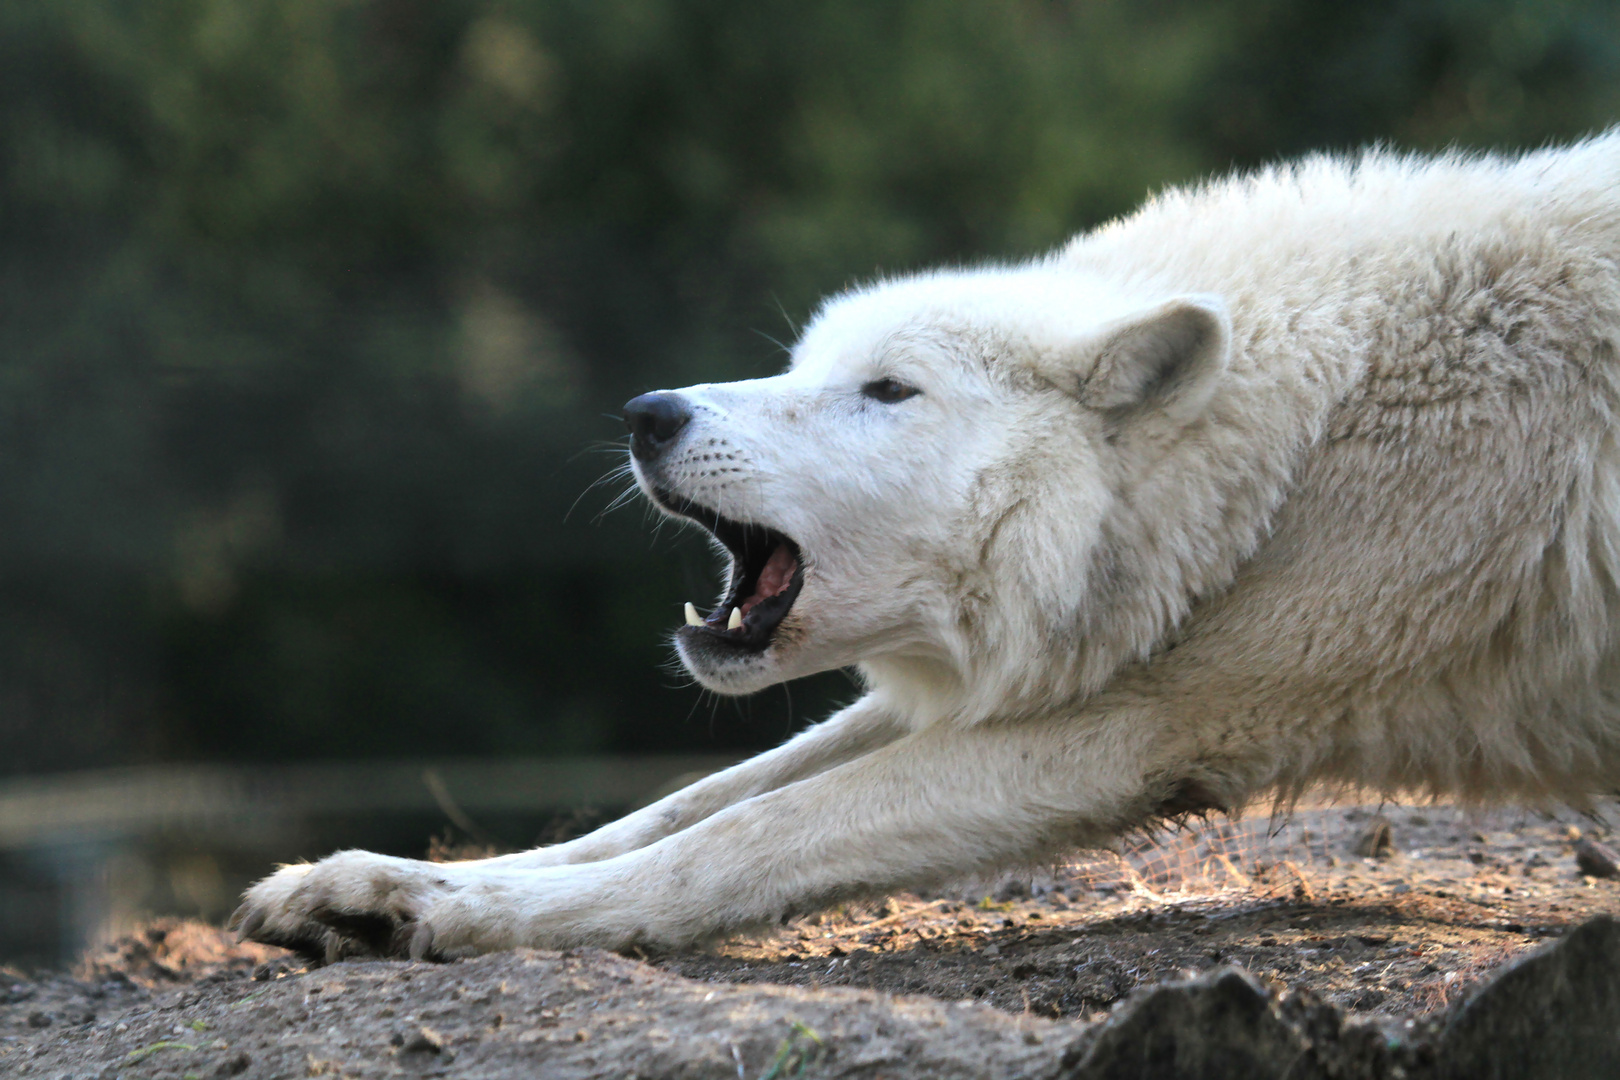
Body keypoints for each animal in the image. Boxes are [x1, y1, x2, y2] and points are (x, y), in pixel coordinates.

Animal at [236, 132, 1620, 965]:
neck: (1302, 451)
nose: (649, 413)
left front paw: (463, 916)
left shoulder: (1141, 726)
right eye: (802, 365)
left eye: (888, 391)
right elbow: (679, 804)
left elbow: (746, 836)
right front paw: (373, 886)